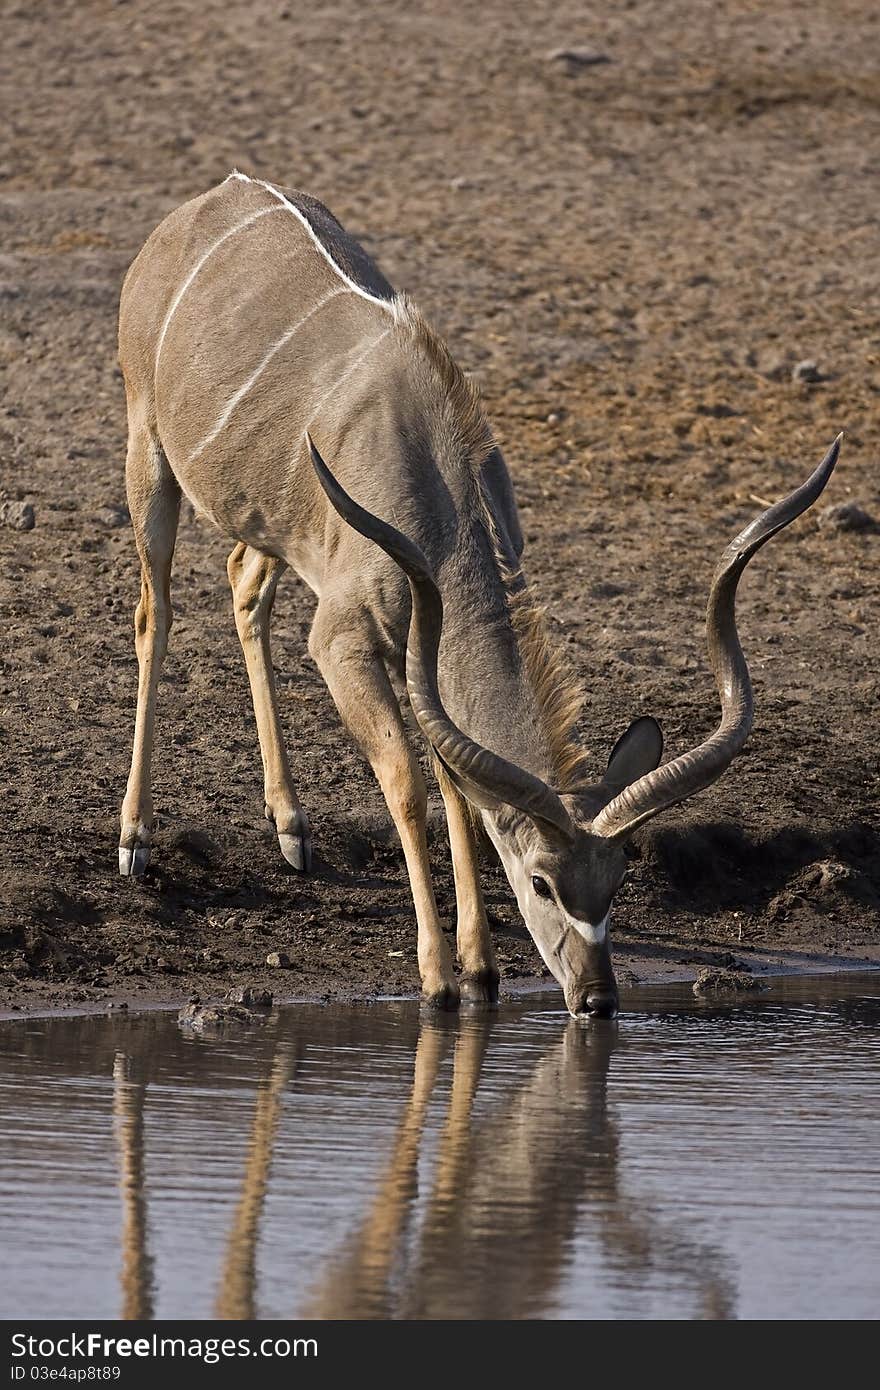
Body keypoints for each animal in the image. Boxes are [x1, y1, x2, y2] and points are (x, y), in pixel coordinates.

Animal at [116, 170, 839, 1023]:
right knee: (154, 614)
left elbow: (458, 787)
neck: (430, 481)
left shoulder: (419, 652)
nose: (597, 999)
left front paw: (482, 968)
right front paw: (436, 976)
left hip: (266, 527)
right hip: (147, 450)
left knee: (242, 582)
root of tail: (209, 199)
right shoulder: (343, 639)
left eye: (618, 878)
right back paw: (134, 837)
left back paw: (291, 826)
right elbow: (408, 785)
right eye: (542, 883)